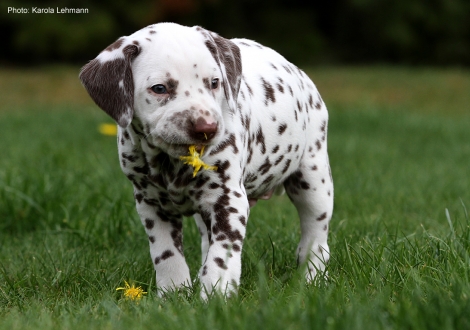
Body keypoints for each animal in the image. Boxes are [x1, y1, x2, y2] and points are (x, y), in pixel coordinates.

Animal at [79, 21, 332, 298]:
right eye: (160, 88)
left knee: (315, 237)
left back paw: (313, 279)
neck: (170, 163)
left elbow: (222, 254)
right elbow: (167, 254)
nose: (207, 128)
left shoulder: (228, 200)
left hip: (313, 181)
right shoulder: (151, 204)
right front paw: (173, 293)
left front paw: (216, 294)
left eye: (214, 82)